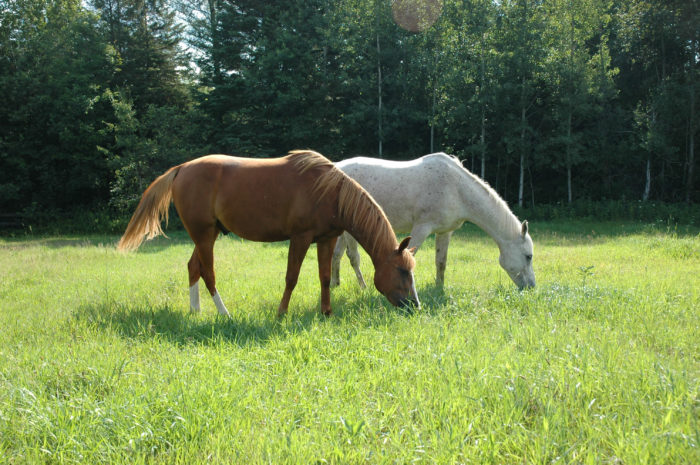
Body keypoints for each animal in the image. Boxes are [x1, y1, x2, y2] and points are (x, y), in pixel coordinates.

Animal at [117, 150, 418, 318]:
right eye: (403, 271)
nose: (415, 306)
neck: (329, 191)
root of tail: (181, 169)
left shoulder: (326, 239)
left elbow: (324, 277)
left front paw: (326, 312)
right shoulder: (300, 238)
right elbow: (291, 277)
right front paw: (281, 313)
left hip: (208, 234)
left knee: (194, 267)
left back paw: (195, 310)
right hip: (203, 235)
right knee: (208, 272)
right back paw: (224, 313)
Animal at [332, 152, 536, 288]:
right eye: (528, 256)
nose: (531, 287)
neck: (456, 189)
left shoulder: (445, 232)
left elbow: (441, 262)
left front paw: (439, 288)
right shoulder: (421, 228)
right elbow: (408, 258)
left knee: (338, 254)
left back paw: (335, 284)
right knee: (352, 256)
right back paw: (362, 287)